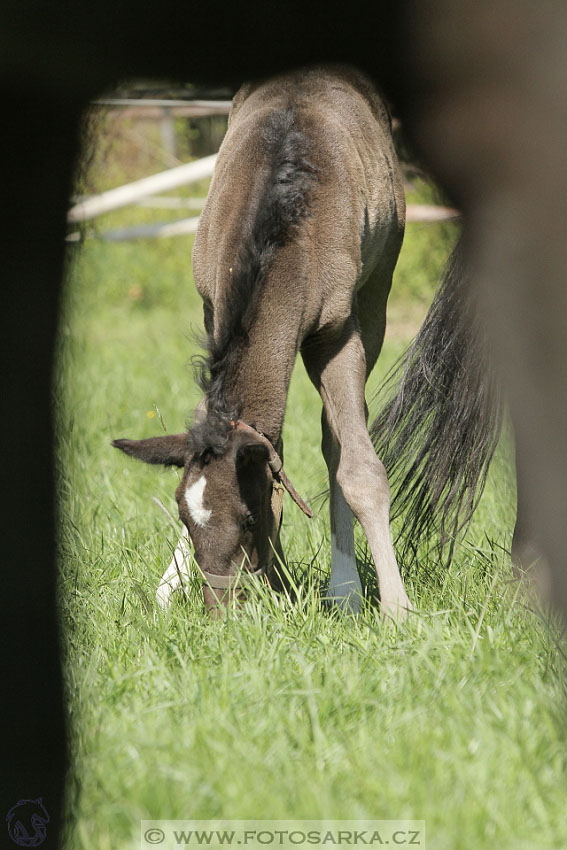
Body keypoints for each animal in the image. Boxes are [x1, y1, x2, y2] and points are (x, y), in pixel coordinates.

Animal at [113, 63, 410, 612]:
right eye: (183, 517)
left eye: (249, 518)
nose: (219, 612)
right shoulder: (213, 307)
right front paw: (169, 588)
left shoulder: (337, 334)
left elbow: (358, 466)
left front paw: (397, 610)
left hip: (377, 298)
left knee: (337, 441)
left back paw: (345, 591)